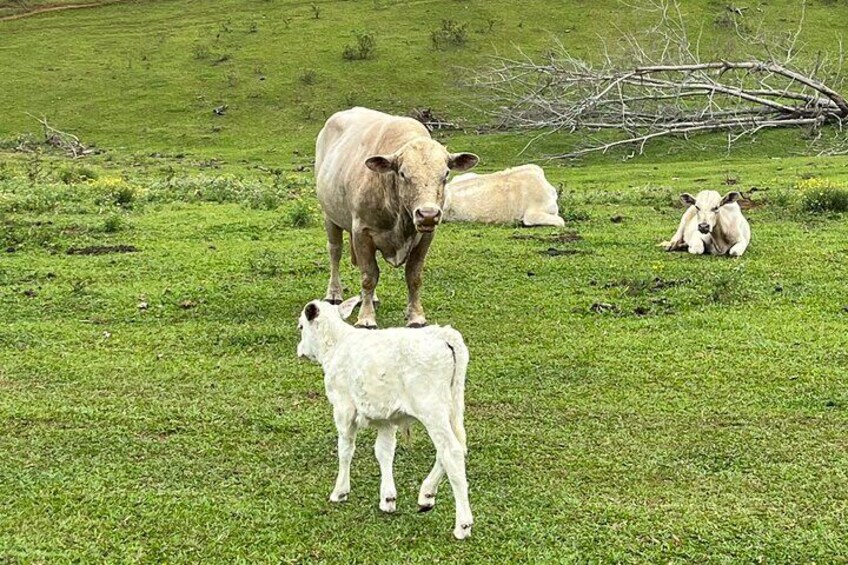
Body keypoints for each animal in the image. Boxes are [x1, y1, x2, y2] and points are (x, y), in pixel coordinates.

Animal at [298, 298, 474, 540]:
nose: (299, 350)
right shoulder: (387, 418)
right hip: (454, 405)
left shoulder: (343, 408)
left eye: (300, 327)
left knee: (452, 451)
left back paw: (462, 525)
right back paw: (427, 494)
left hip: (432, 408)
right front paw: (388, 499)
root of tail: (443, 335)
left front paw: (340, 491)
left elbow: (345, 449)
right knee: (454, 448)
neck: (337, 345)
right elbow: (384, 452)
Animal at [316, 107, 480, 326]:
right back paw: (334, 293)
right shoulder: (362, 231)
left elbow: (414, 276)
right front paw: (366, 318)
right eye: (403, 174)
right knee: (335, 251)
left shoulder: (426, 236)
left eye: (445, 174)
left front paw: (416, 316)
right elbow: (368, 276)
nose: (428, 214)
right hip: (329, 215)